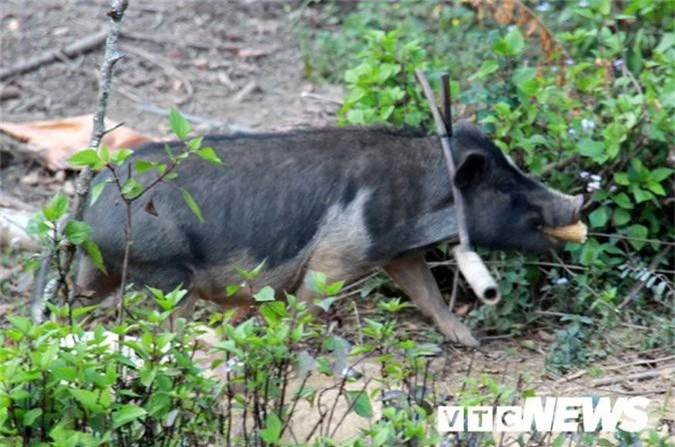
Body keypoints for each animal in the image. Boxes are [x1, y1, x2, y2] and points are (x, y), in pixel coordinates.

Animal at [79, 124, 584, 348]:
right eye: (504, 188)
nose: (579, 201)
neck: (419, 196)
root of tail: (88, 213)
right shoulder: (339, 256)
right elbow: (306, 303)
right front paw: (278, 341)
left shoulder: (396, 252)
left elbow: (427, 294)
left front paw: (469, 340)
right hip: (168, 275)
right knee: (165, 325)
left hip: (98, 270)